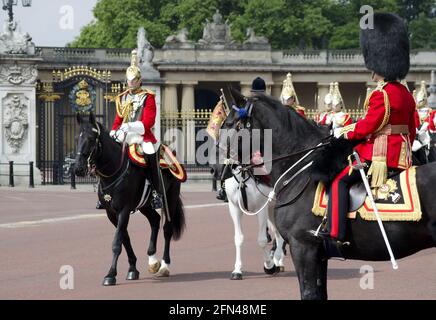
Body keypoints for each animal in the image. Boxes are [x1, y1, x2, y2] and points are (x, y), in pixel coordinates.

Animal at [74, 112, 185, 284]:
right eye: (76, 138)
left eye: (91, 138)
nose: (78, 168)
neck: (114, 171)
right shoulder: (112, 213)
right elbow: (124, 238)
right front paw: (132, 269)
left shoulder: (124, 209)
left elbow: (117, 242)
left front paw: (111, 274)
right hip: (145, 205)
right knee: (155, 220)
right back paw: (152, 261)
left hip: (170, 199)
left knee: (167, 228)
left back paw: (164, 266)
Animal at [223, 90, 436, 300]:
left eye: (229, 124)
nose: (224, 171)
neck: (301, 173)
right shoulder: (319, 253)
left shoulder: (303, 247)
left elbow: (309, 293)